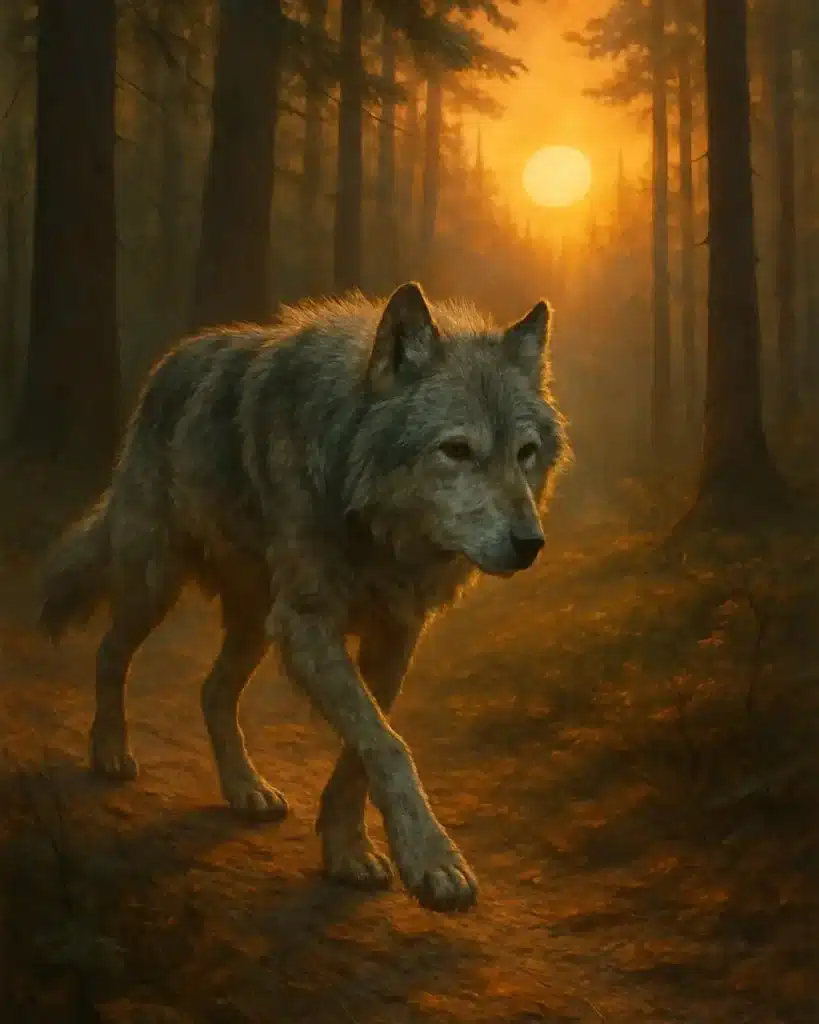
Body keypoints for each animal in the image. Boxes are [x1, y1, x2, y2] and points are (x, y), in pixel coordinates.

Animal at [39, 282, 567, 913]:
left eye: (525, 453)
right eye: (457, 450)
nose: (531, 543)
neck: (370, 521)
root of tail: (170, 361)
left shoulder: (395, 633)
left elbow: (365, 746)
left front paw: (347, 851)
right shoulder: (309, 623)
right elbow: (388, 746)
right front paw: (433, 860)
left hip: (256, 622)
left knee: (212, 690)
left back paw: (245, 789)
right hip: (158, 584)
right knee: (110, 652)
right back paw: (110, 751)